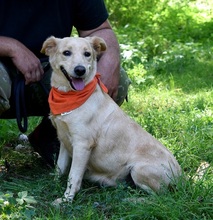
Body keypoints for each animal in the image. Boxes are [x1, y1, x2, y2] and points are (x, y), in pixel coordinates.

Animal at [40, 36, 181, 203]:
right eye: (66, 52)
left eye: (87, 54)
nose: (80, 70)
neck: (69, 97)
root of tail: (182, 177)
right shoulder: (63, 140)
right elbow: (60, 168)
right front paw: (53, 184)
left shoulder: (82, 145)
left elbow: (73, 177)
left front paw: (66, 200)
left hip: (139, 169)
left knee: (160, 198)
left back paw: (133, 201)